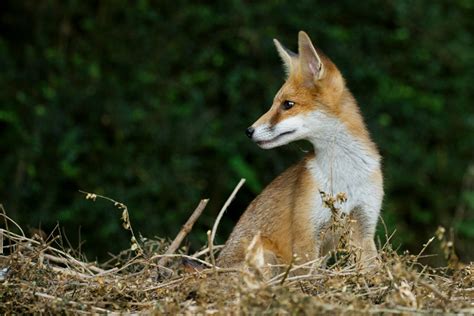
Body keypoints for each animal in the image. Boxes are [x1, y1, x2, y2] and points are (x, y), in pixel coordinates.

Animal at [217, 30, 384, 270]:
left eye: (287, 104)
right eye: (274, 104)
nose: (249, 131)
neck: (344, 175)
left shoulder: (364, 226)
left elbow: (373, 270)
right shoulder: (307, 236)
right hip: (267, 256)